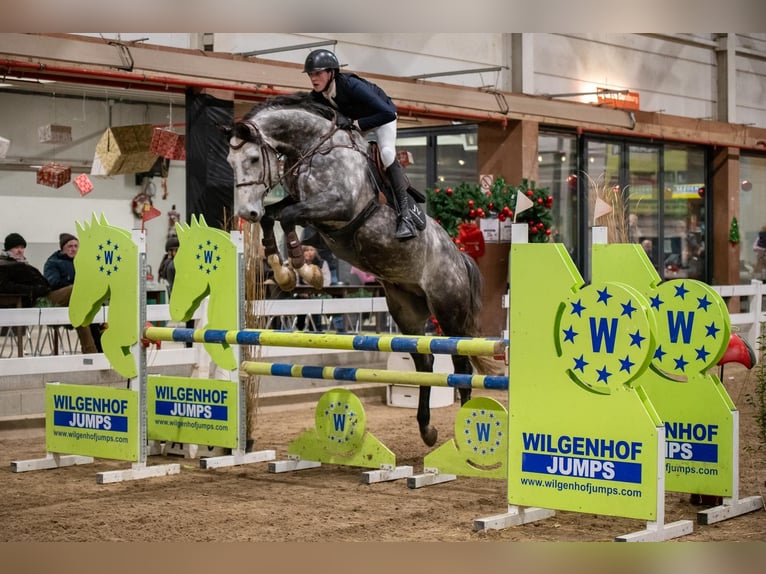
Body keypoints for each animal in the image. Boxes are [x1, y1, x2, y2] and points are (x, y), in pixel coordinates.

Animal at [226, 92, 496, 446]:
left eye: (255, 158)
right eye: (231, 162)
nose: (246, 212)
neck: (316, 148)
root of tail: (460, 258)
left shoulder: (338, 206)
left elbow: (287, 216)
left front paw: (302, 269)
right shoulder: (304, 205)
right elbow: (276, 214)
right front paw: (281, 268)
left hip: (449, 309)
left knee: (461, 364)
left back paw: (465, 435)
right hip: (406, 308)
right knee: (425, 360)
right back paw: (426, 429)